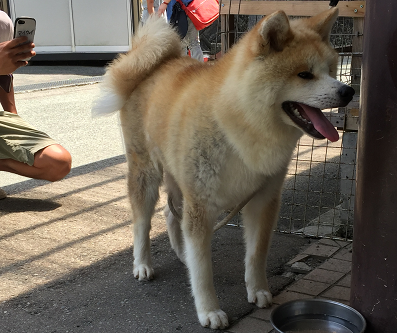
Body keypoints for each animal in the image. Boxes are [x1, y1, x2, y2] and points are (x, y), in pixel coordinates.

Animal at [92, 7, 352, 326]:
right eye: (305, 74)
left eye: (331, 70)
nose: (349, 91)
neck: (239, 125)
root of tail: (155, 65)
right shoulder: (201, 205)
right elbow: (203, 270)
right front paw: (209, 311)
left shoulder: (263, 198)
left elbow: (256, 254)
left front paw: (258, 290)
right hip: (148, 173)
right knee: (142, 223)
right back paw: (142, 264)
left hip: (179, 176)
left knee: (170, 213)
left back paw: (182, 253)